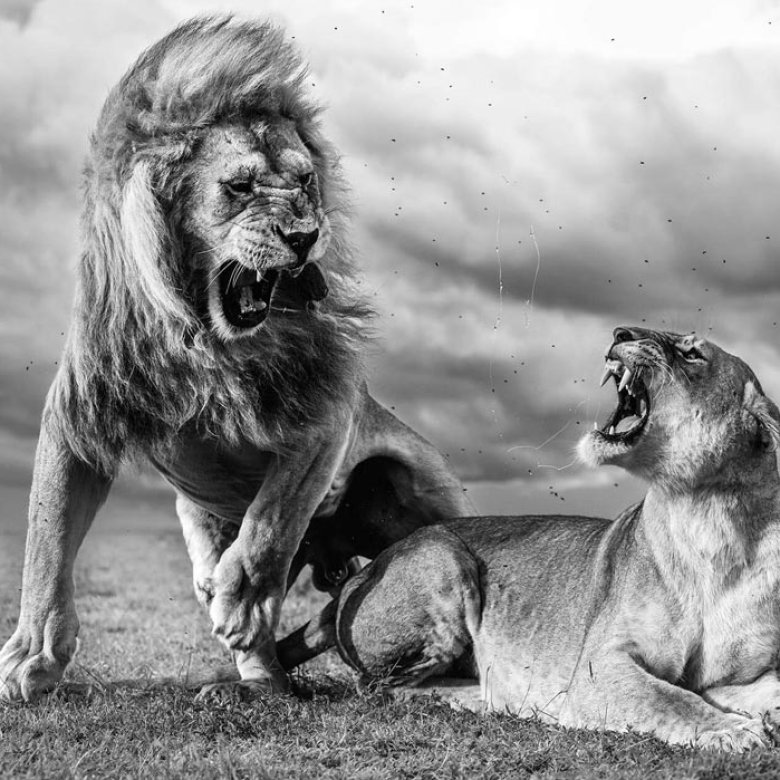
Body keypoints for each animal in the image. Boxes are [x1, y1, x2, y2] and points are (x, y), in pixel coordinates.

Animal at [0, 15, 474, 703]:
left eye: (305, 182)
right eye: (240, 187)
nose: (305, 236)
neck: (205, 338)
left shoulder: (326, 410)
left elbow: (270, 526)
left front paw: (244, 600)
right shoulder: (77, 418)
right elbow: (46, 541)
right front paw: (31, 658)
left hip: (416, 491)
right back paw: (248, 683)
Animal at [278, 326, 780, 751]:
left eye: (692, 353)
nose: (621, 332)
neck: (707, 520)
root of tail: (355, 581)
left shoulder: (748, 671)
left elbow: (747, 690)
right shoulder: (599, 666)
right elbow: (671, 697)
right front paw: (733, 731)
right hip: (443, 557)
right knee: (379, 686)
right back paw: (497, 698)